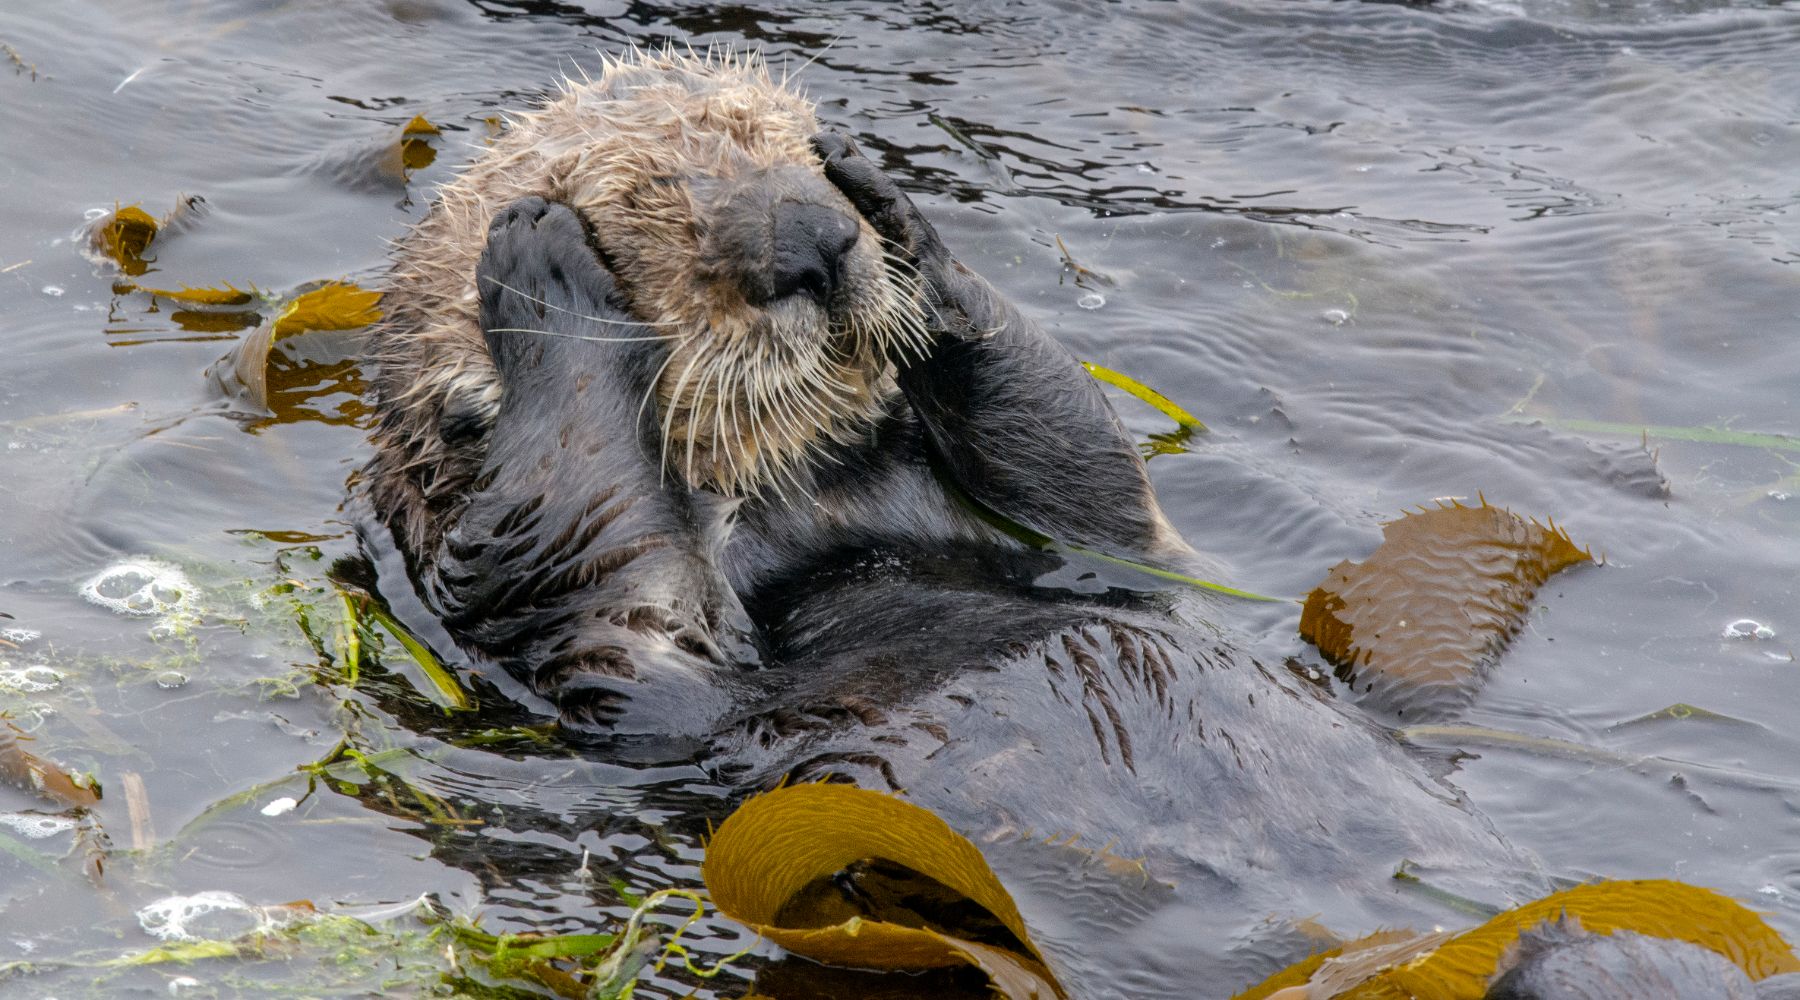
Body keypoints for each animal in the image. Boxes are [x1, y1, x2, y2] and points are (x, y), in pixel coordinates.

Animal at [354, 52, 1548, 992]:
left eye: (767, 140)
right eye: (646, 213)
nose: (811, 238)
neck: (806, 515)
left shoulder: (1071, 545)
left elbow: (1089, 485)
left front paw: (892, 211)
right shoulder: (593, 634)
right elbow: (594, 530)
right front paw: (543, 267)